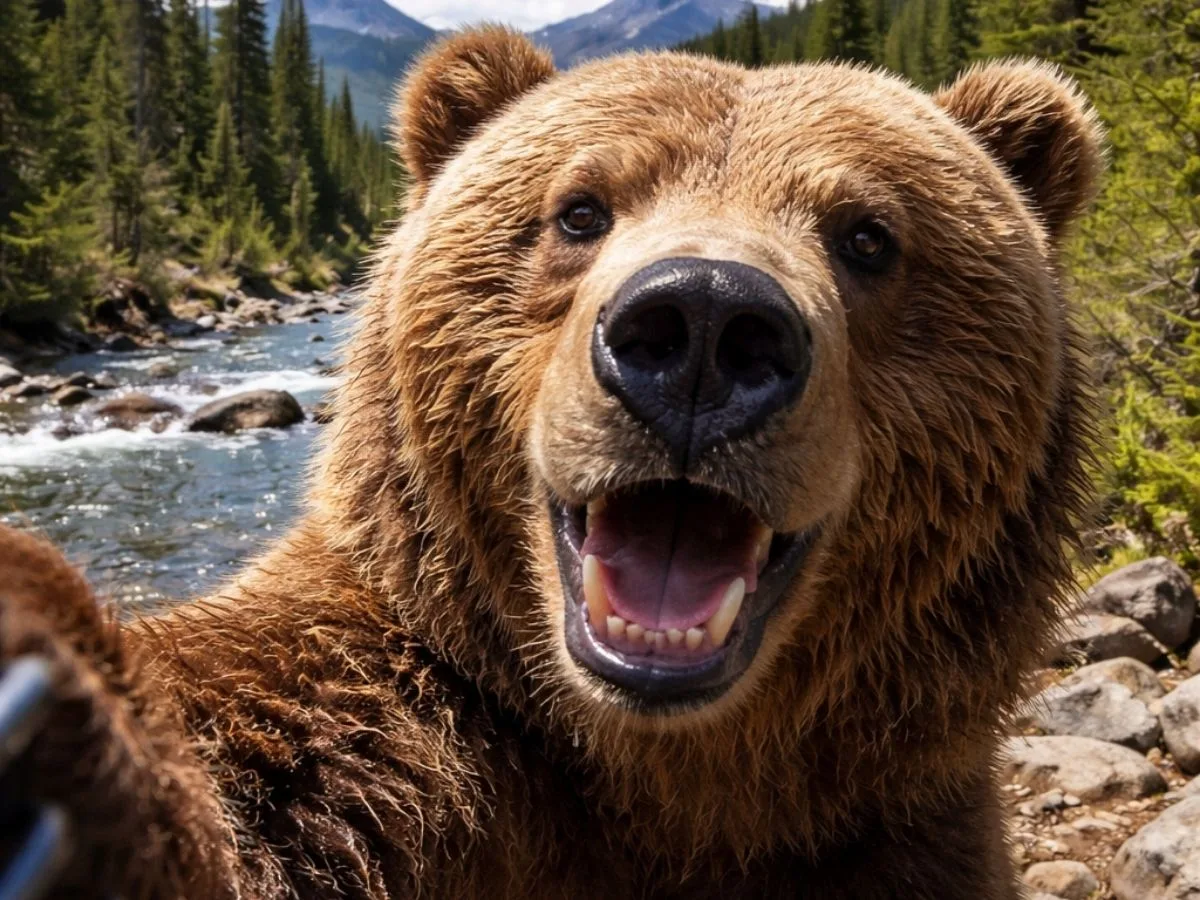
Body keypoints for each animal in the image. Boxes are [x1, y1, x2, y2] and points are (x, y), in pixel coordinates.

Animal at [0, 27, 1101, 899]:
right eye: (580, 209)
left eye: (869, 236)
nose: (704, 325)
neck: (669, 777)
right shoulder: (389, 749)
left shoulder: (891, 829)